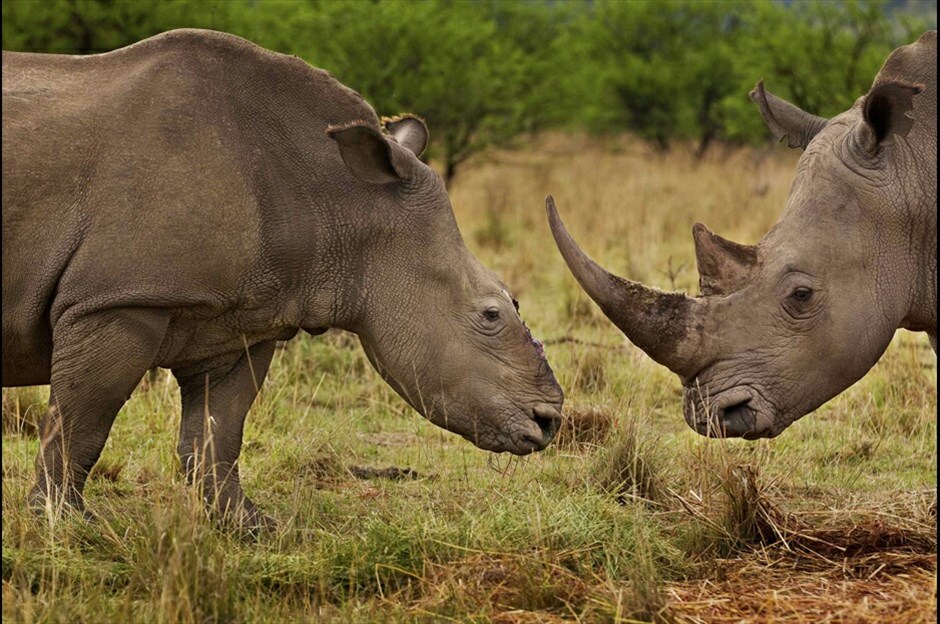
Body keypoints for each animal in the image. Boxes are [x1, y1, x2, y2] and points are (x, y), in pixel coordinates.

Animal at [2, 29, 563, 527]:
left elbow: (218, 432)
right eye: (490, 314)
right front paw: (63, 524)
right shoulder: (117, 300)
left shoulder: (239, 320)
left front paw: (250, 527)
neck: (342, 199)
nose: (549, 422)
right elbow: (82, 422)